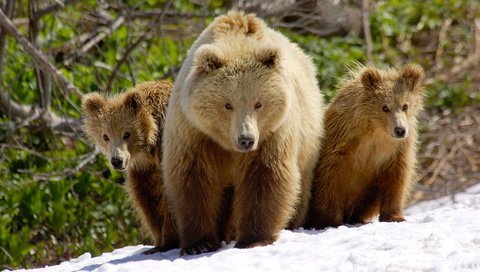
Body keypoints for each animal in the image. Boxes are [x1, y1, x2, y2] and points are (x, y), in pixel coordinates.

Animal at [81, 79, 179, 254]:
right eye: (105, 136)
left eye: (126, 134)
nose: (117, 160)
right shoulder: (143, 170)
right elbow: (146, 200)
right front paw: (157, 243)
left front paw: (169, 241)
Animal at [163, 10, 324, 255]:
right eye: (228, 105)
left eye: (258, 103)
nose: (246, 139)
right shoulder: (194, 132)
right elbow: (193, 179)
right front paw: (198, 244)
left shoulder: (272, 133)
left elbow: (265, 176)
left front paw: (253, 238)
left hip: (307, 139)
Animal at [308, 63, 424, 227]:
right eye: (385, 107)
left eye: (405, 106)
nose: (400, 130)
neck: (376, 132)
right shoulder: (341, 144)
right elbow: (329, 178)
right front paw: (331, 220)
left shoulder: (397, 150)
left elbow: (397, 178)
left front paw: (395, 216)